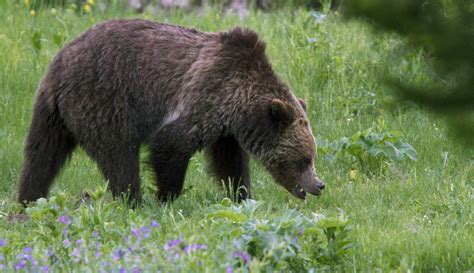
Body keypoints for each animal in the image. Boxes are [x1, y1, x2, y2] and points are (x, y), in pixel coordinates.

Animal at [16, 19, 324, 203]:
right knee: (119, 156)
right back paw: (132, 200)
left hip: (53, 115)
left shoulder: (225, 128)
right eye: (304, 159)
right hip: (103, 100)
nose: (319, 184)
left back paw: (28, 199)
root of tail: (58, 64)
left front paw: (242, 194)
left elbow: (229, 162)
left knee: (41, 155)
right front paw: (168, 197)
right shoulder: (205, 94)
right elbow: (171, 143)